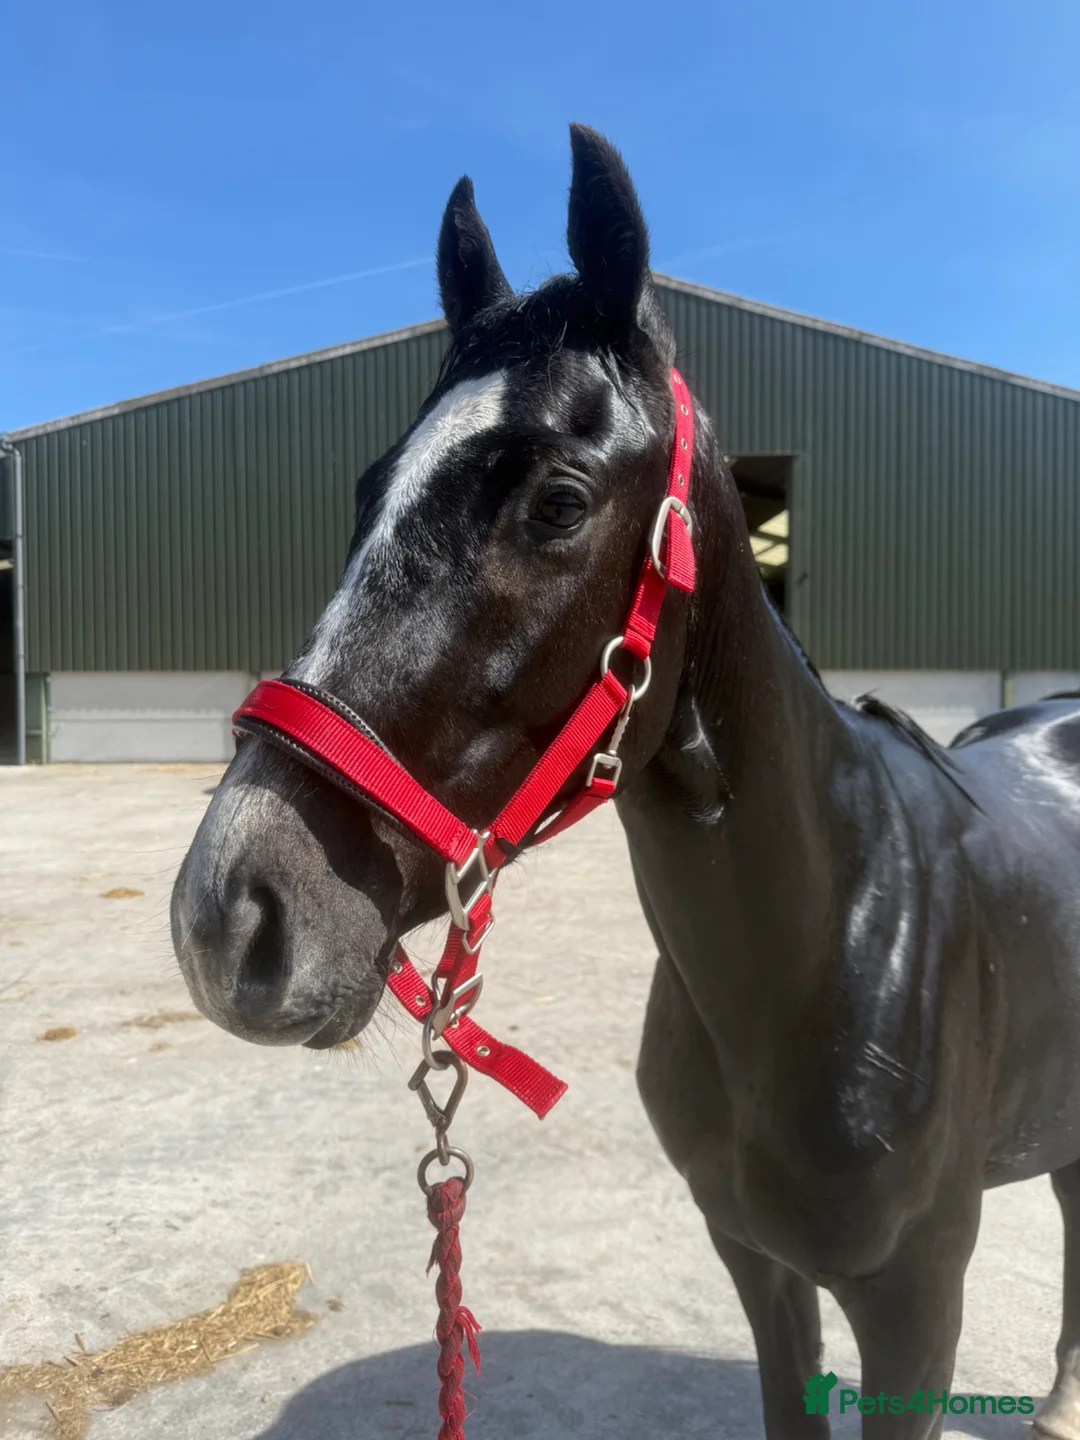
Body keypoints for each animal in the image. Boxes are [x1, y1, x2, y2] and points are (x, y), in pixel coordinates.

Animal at [171, 125, 1080, 1438]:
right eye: (368, 490)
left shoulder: (919, 1306)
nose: (227, 915)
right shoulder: (758, 1266)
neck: (834, 942)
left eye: (558, 501)